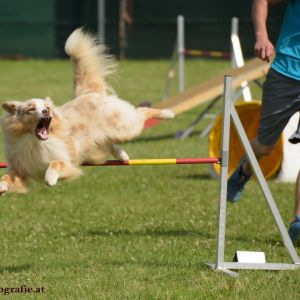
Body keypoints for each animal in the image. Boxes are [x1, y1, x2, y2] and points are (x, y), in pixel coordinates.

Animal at [0, 28, 175, 195]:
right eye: (31, 109)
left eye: (47, 107)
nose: (45, 112)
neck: (34, 142)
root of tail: (87, 93)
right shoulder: (20, 167)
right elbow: (7, 176)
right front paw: (2, 187)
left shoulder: (67, 160)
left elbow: (55, 163)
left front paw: (50, 178)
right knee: (110, 142)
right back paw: (123, 155)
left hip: (123, 127)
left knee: (140, 111)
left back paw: (167, 113)